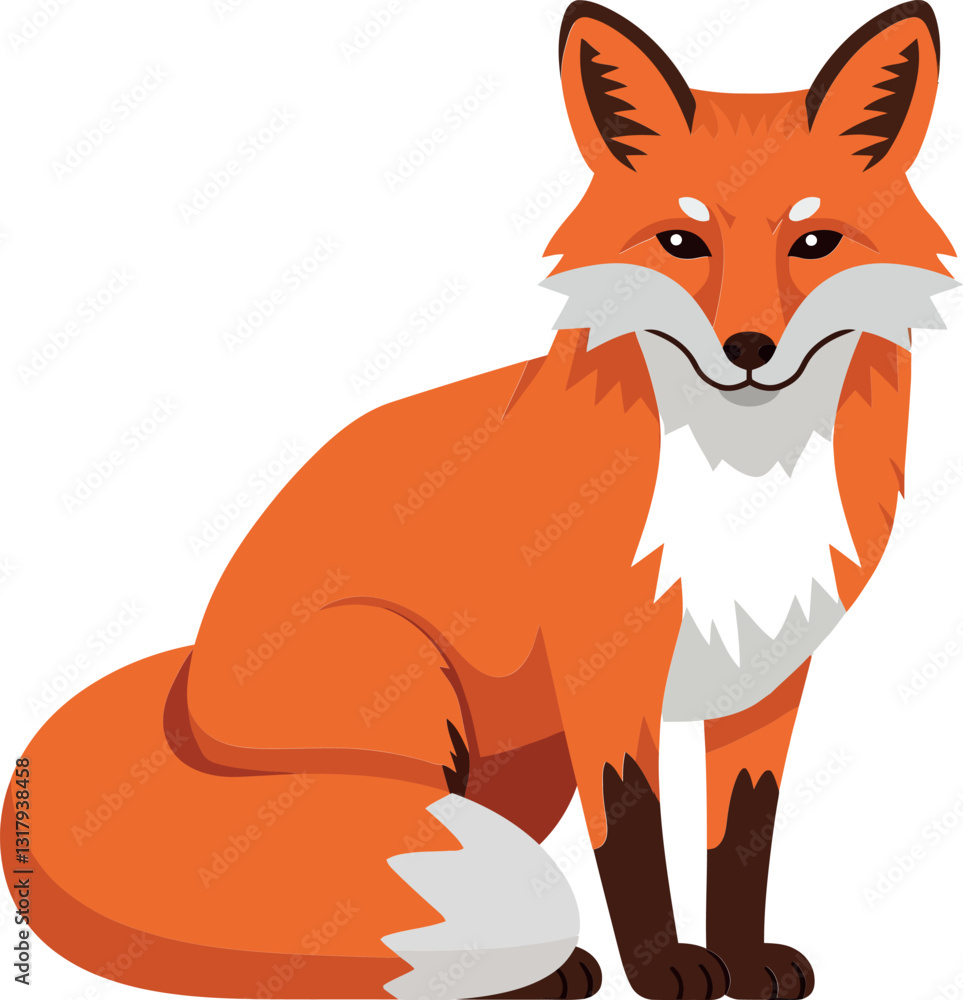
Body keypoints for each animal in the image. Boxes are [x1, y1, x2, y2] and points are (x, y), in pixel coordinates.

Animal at [3, 2, 958, 998]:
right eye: (681, 242)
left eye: (813, 243)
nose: (747, 349)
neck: (738, 485)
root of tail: (183, 687)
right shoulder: (604, 674)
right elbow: (631, 833)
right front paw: (663, 968)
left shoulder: (766, 676)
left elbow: (743, 837)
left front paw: (742, 958)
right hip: (411, 701)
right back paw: (539, 976)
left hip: (519, 771)